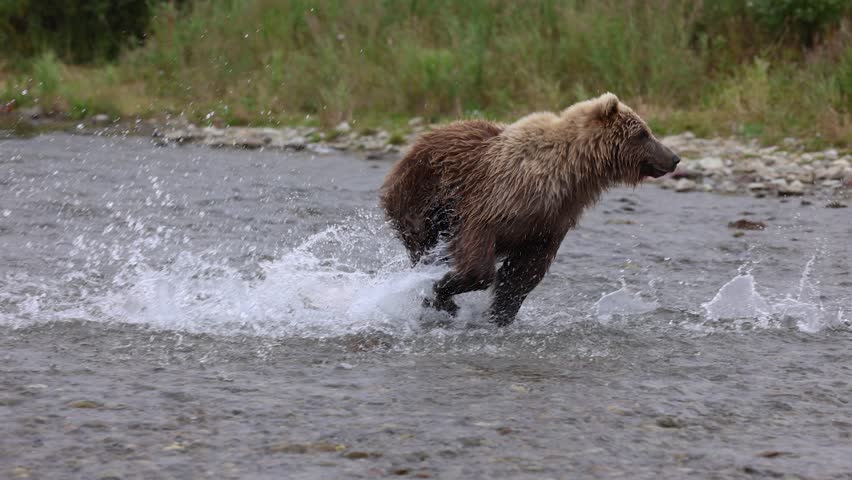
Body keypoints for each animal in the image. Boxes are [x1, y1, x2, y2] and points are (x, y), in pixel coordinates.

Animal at [379, 93, 680, 326]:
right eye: (642, 133)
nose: (674, 157)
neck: (570, 173)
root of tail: (416, 143)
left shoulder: (550, 222)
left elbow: (523, 274)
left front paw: (499, 314)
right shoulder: (498, 200)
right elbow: (479, 261)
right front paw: (444, 288)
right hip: (422, 196)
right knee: (423, 244)